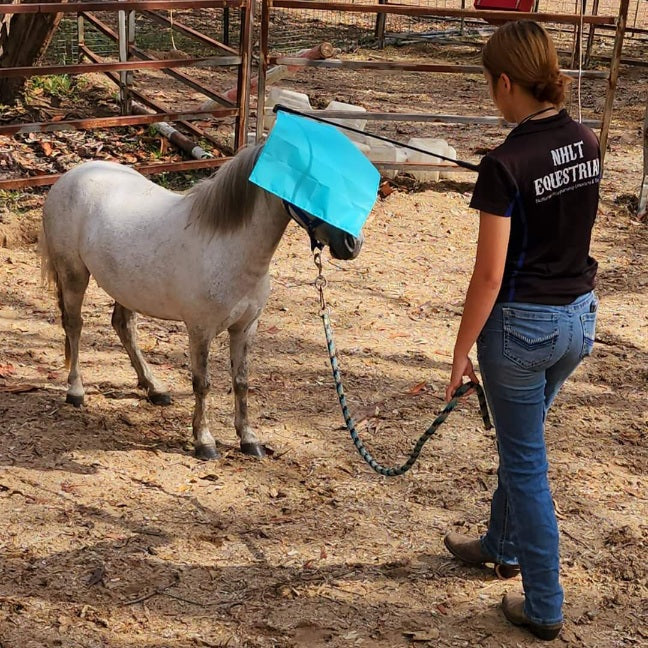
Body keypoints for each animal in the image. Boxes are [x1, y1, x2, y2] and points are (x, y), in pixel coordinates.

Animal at [40, 147, 364, 460]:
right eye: (314, 184)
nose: (352, 243)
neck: (227, 246)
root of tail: (71, 175)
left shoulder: (246, 327)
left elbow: (241, 381)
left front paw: (249, 440)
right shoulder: (200, 330)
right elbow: (202, 383)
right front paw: (204, 442)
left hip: (125, 287)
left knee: (123, 326)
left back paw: (154, 388)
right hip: (73, 274)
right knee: (74, 326)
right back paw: (76, 391)